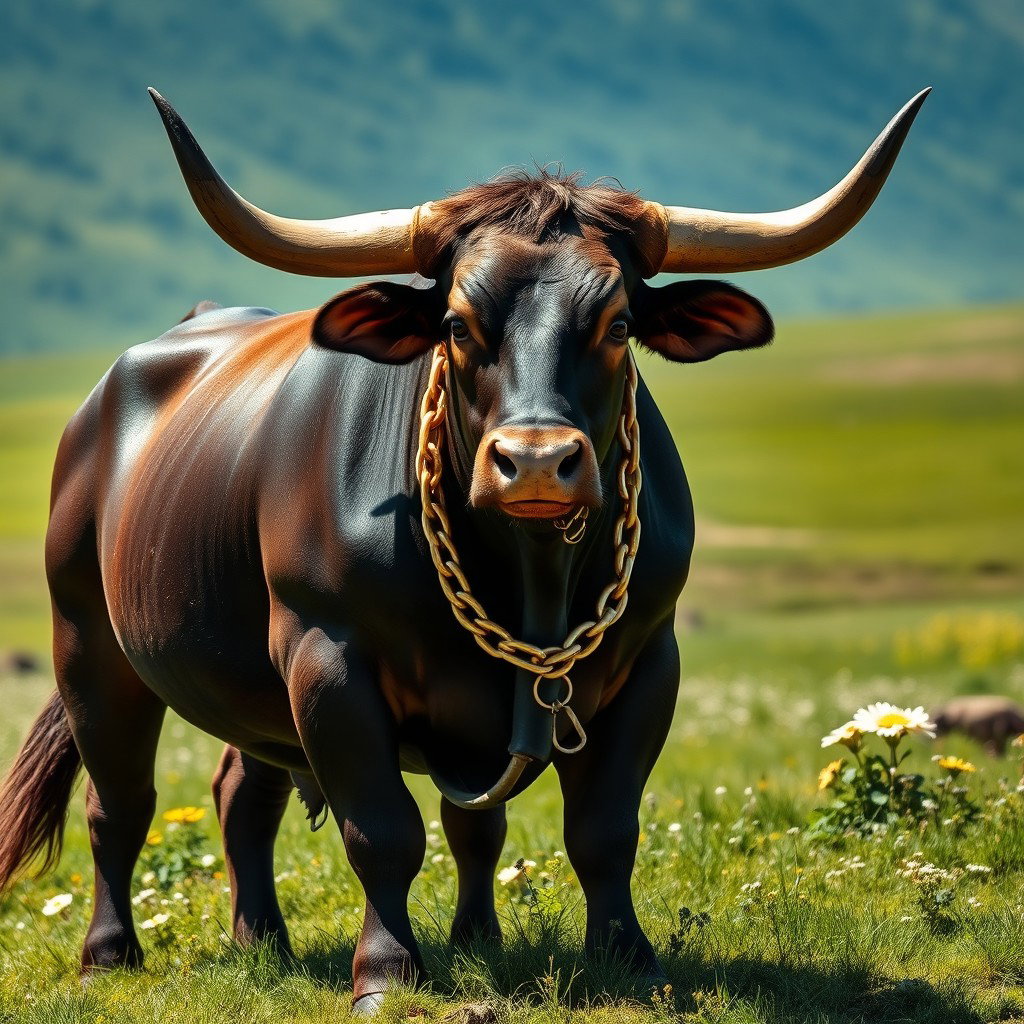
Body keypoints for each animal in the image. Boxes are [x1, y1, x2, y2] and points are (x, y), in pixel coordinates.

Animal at [0, 87, 929, 1013]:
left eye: (619, 322)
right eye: (455, 321)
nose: (536, 462)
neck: (528, 570)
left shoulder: (645, 663)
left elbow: (578, 827)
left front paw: (592, 954)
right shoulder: (326, 659)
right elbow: (384, 831)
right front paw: (385, 972)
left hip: (246, 682)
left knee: (242, 796)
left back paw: (262, 939)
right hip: (90, 645)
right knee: (120, 803)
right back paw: (110, 953)